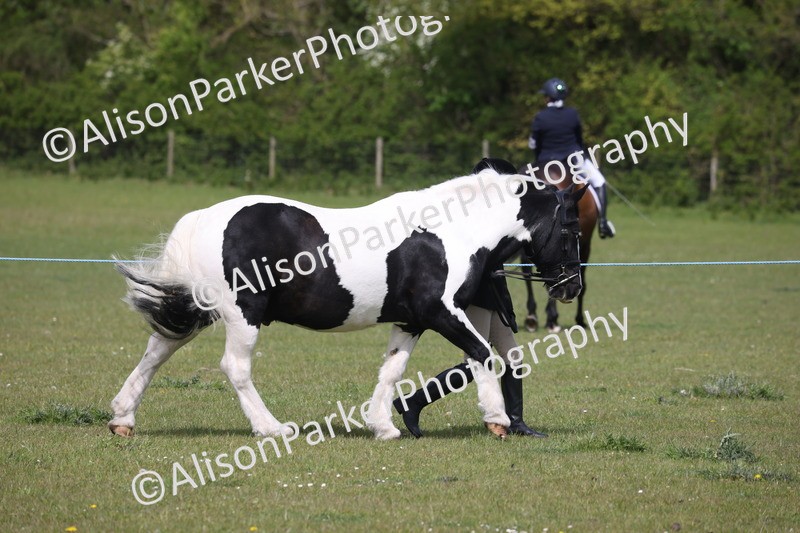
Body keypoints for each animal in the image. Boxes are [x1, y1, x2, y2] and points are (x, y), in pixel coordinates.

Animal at [108, 167, 585, 441]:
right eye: (571, 230)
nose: (571, 288)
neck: (450, 232)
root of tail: (203, 217)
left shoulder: (411, 321)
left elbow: (393, 369)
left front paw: (384, 425)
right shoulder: (441, 312)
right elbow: (483, 354)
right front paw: (497, 419)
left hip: (201, 311)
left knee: (155, 352)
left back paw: (122, 419)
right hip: (243, 314)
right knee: (235, 368)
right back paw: (271, 429)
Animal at [518, 158, 597, 332]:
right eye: (576, 233)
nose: (574, 289)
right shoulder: (585, 247)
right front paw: (579, 320)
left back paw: (532, 317)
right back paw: (551, 319)